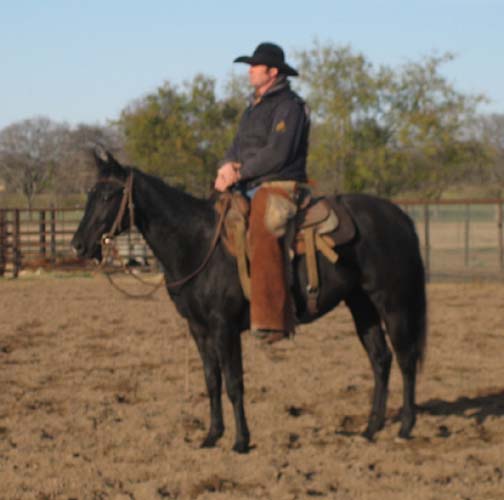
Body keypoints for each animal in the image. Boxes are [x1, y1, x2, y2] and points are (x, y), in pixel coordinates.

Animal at [72, 151, 426, 454]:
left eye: (107, 196)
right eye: (89, 194)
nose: (78, 245)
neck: (199, 243)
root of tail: (399, 216)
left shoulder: (224, 326)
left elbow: (233, 382)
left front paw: (241, 441)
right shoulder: (199, 328)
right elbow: (212, 381)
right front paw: (212, 435)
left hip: (392, 302)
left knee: (406, 359)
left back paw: (405, 428)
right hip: (361, 304)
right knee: (380, 359)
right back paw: (370, 429)